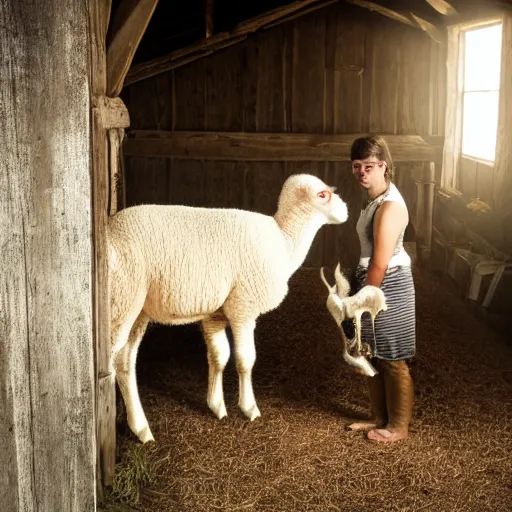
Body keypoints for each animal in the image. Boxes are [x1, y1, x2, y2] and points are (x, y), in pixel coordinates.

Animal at [108, 174, 348, 442]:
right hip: (121, 301)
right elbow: (245, 359)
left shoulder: (215, 313)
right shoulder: (243, 307)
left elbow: (219, 355)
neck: (284, 242)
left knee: (124, 363)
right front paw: (249, 408)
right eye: (322, 195)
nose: (345, 210)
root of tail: (109, 228)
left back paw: (141, 429)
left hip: (137, 310)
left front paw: (216, 406)